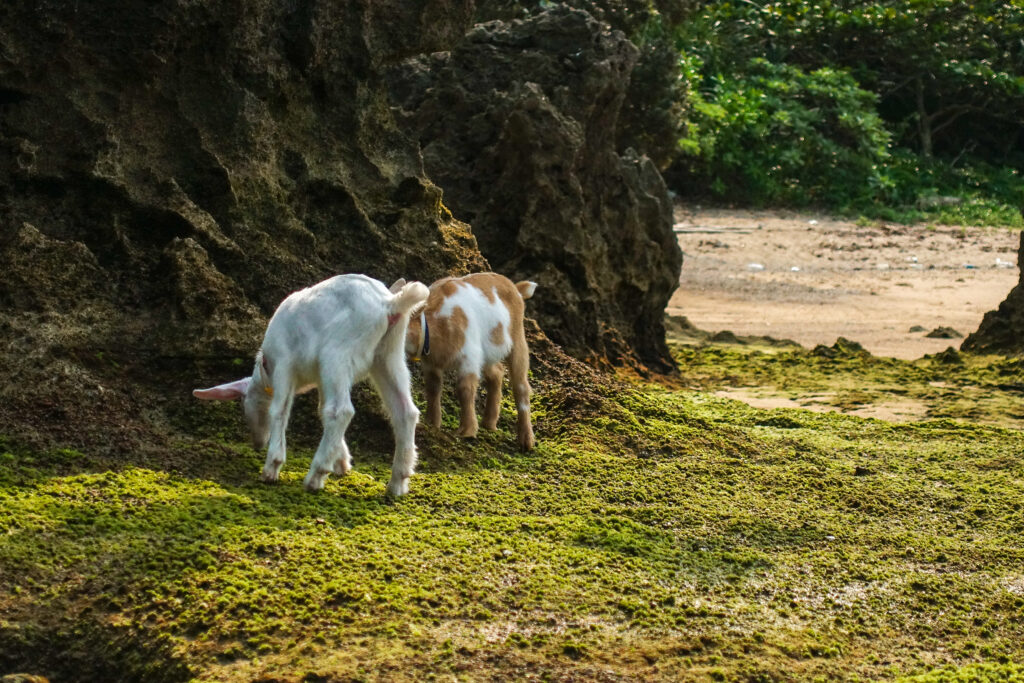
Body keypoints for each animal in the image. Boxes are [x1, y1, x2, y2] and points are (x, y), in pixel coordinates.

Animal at [192, 272, 428, 497]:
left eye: (245, 405)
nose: (257, 444)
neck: (266, 367)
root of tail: (390, 304)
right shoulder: (321, 379)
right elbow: (321, 410)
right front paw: (342, 462)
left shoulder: (285, 364)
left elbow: (279, 410)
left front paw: (272, 467)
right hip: (388, 356)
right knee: (405, 412)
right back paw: (397, 483)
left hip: (337, 353)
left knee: (341, 411)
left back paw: (315, 476)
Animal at [403, 270, 540, 450]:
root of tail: (516, 288)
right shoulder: (431, 364)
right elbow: (433, 388)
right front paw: (432, 423)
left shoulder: (469, 356)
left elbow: (465, 389)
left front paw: (466, 431)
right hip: (489, 351)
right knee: (497, 373)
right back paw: (489, 423)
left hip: (517, 340)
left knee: (521, 386)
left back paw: (526, 440)